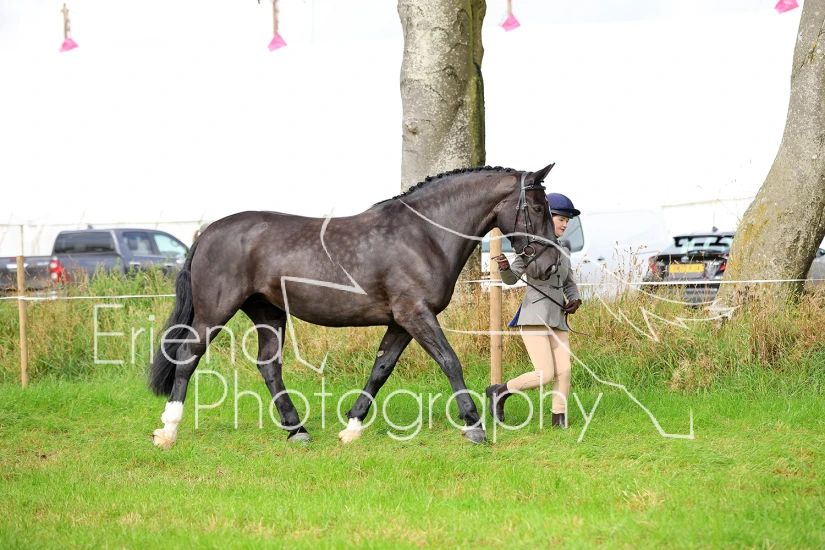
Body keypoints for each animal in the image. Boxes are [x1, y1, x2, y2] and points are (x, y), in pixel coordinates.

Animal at [148, 164, 561, 448]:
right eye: (537, 207)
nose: (548, 264)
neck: (424, 235)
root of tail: (208, 232)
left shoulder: (401, 322)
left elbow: (381, 369)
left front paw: (352, 428)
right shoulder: (416, 314)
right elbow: (449, 361)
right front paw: (473, 426)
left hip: (268, 312)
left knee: (268, 365)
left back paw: (297, 430)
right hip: (215, 311)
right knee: (187, 356)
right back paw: (168, 431)